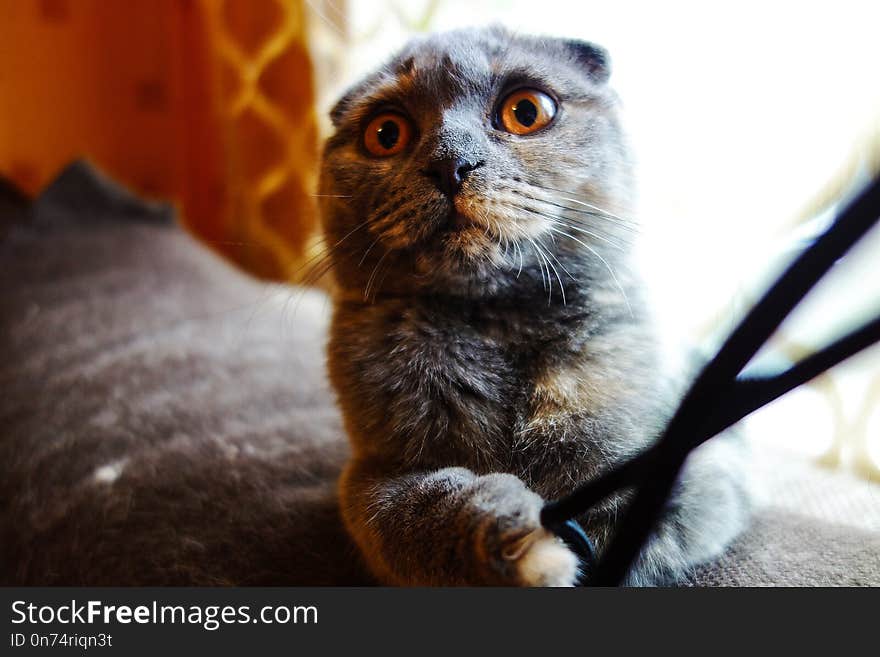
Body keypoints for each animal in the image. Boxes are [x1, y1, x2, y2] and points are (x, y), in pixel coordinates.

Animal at [318, 28, 748, 588]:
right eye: (385, 133)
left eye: (527, 111)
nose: (450, 162)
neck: (497, 325)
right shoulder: (371, 476)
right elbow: (414, 511)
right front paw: (515, 541)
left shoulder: (695, 462)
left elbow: (635, 520)